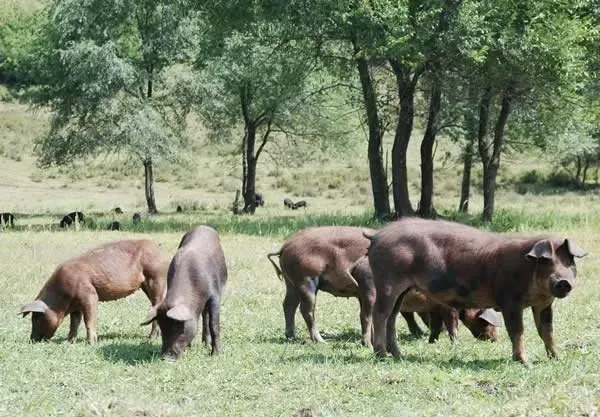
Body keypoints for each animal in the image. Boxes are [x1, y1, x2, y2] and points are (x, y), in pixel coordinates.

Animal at [20, 239, 168, 342]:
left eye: (36, 318)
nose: (31, 340)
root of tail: (159, 249)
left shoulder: (89, 295)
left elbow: (88, 320)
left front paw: (90, 342)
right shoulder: (75, 306)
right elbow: (74, 323)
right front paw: (70, 341)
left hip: (156, 277)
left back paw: (151, 338)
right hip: (145, 285)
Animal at [141, 226, 227, 360]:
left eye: (179, 327)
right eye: (162, 327)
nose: (167, 358)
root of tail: (203, 226)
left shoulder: (215, 295)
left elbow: (214, 325)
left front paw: (216, 355)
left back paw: (206, 346)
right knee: (204, 315)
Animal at [366, 218, 584, 364]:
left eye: (569, 261)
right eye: (546, 261)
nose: (563, 281)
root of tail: (378, 236)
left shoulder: (544, 304)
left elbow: (546, 331)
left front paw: (558, 358)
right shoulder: (510, 301)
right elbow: (518, 331)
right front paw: (525, 363)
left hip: (402, 290)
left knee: (392, 317)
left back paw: (398, 355)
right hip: (387, 283)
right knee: (380, 314)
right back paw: (382, 355)